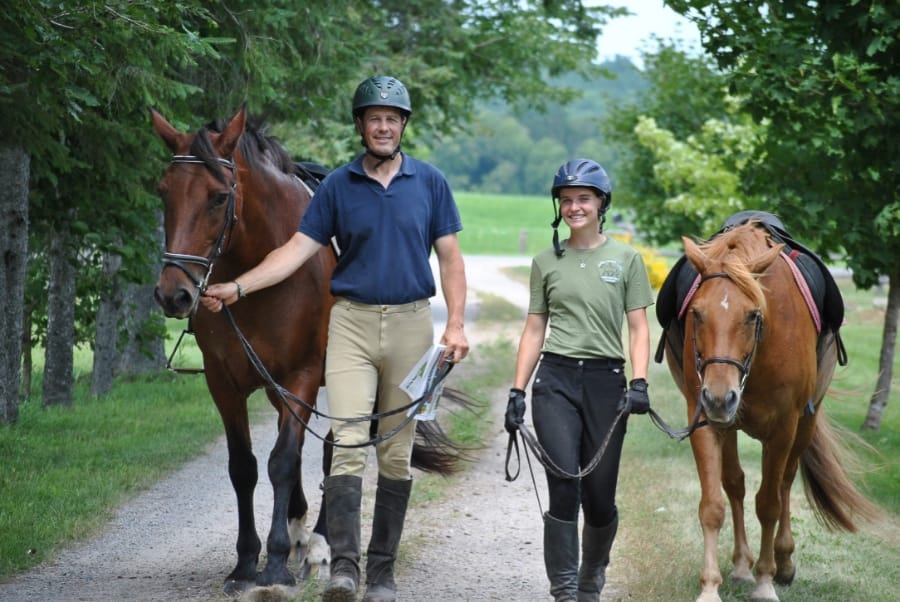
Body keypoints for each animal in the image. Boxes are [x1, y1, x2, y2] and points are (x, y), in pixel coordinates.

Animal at [660, 220, 880, 600]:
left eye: (753, 315)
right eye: (697, 313)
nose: (719, 398)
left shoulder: (783, 428)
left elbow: (769, 504)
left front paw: (765, 581)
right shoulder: (704, 420)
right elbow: (713, 505)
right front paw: (710, 586)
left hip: (805, 423)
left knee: (786, 483)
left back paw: (784, 562)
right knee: (735, 484)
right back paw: (741, 565)